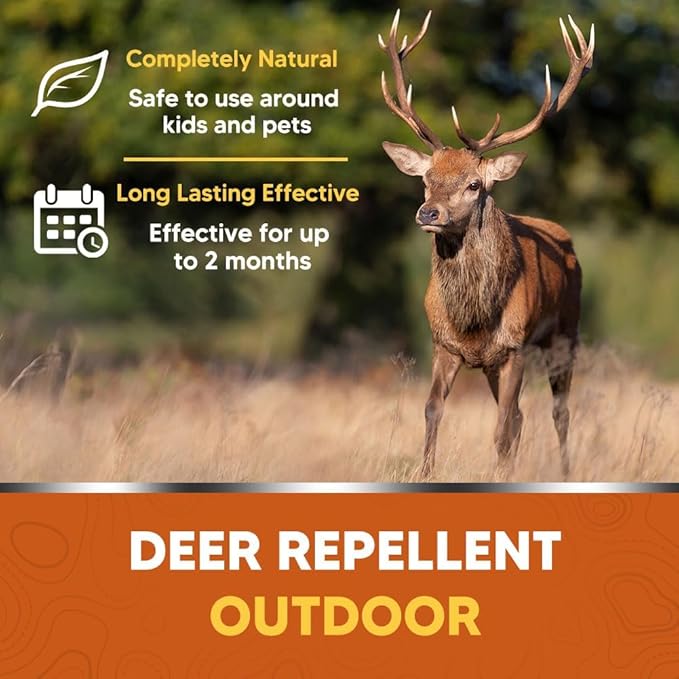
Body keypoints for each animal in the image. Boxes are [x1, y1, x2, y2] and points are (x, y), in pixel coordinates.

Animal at [379, 10, 595, 479]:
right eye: (426, 179)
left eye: (474, 184)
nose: (428, 213)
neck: (474, 320)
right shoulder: (443, 345)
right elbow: (433, 410)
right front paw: (426, 472)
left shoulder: (514, 346)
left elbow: (502, 429)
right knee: (521, 416)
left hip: (565, 333)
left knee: (558, 412)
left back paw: (566, 472)